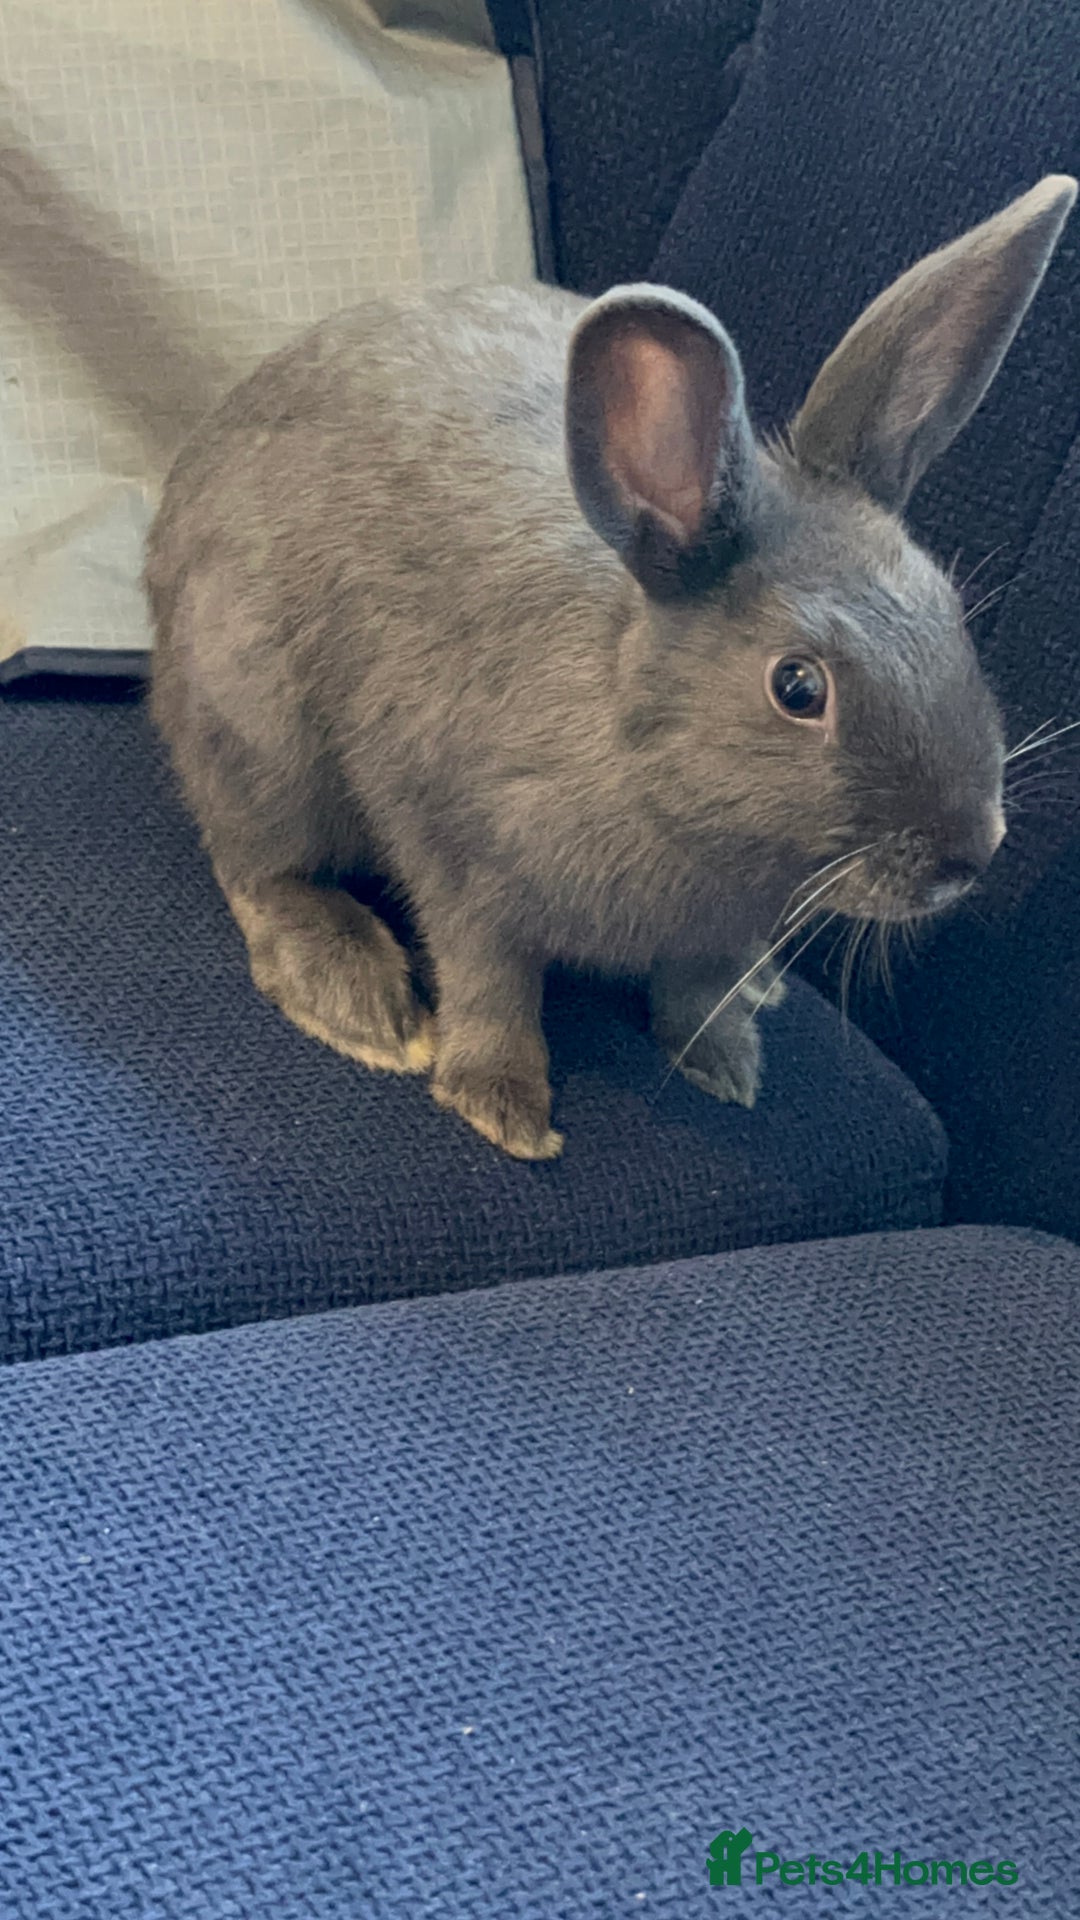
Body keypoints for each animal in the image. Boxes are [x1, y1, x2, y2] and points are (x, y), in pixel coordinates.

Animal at [147, 175, 1076, 1160]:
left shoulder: (716, 933)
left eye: (951, 612)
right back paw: (360, 1002)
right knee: (259, 868)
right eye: (798, 687)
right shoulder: (461, 858)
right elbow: (491, 984)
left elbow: (698, 993)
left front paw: (723, 1067)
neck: (643, 761)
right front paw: (502, 1108)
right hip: (254, 724)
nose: (970, 852)